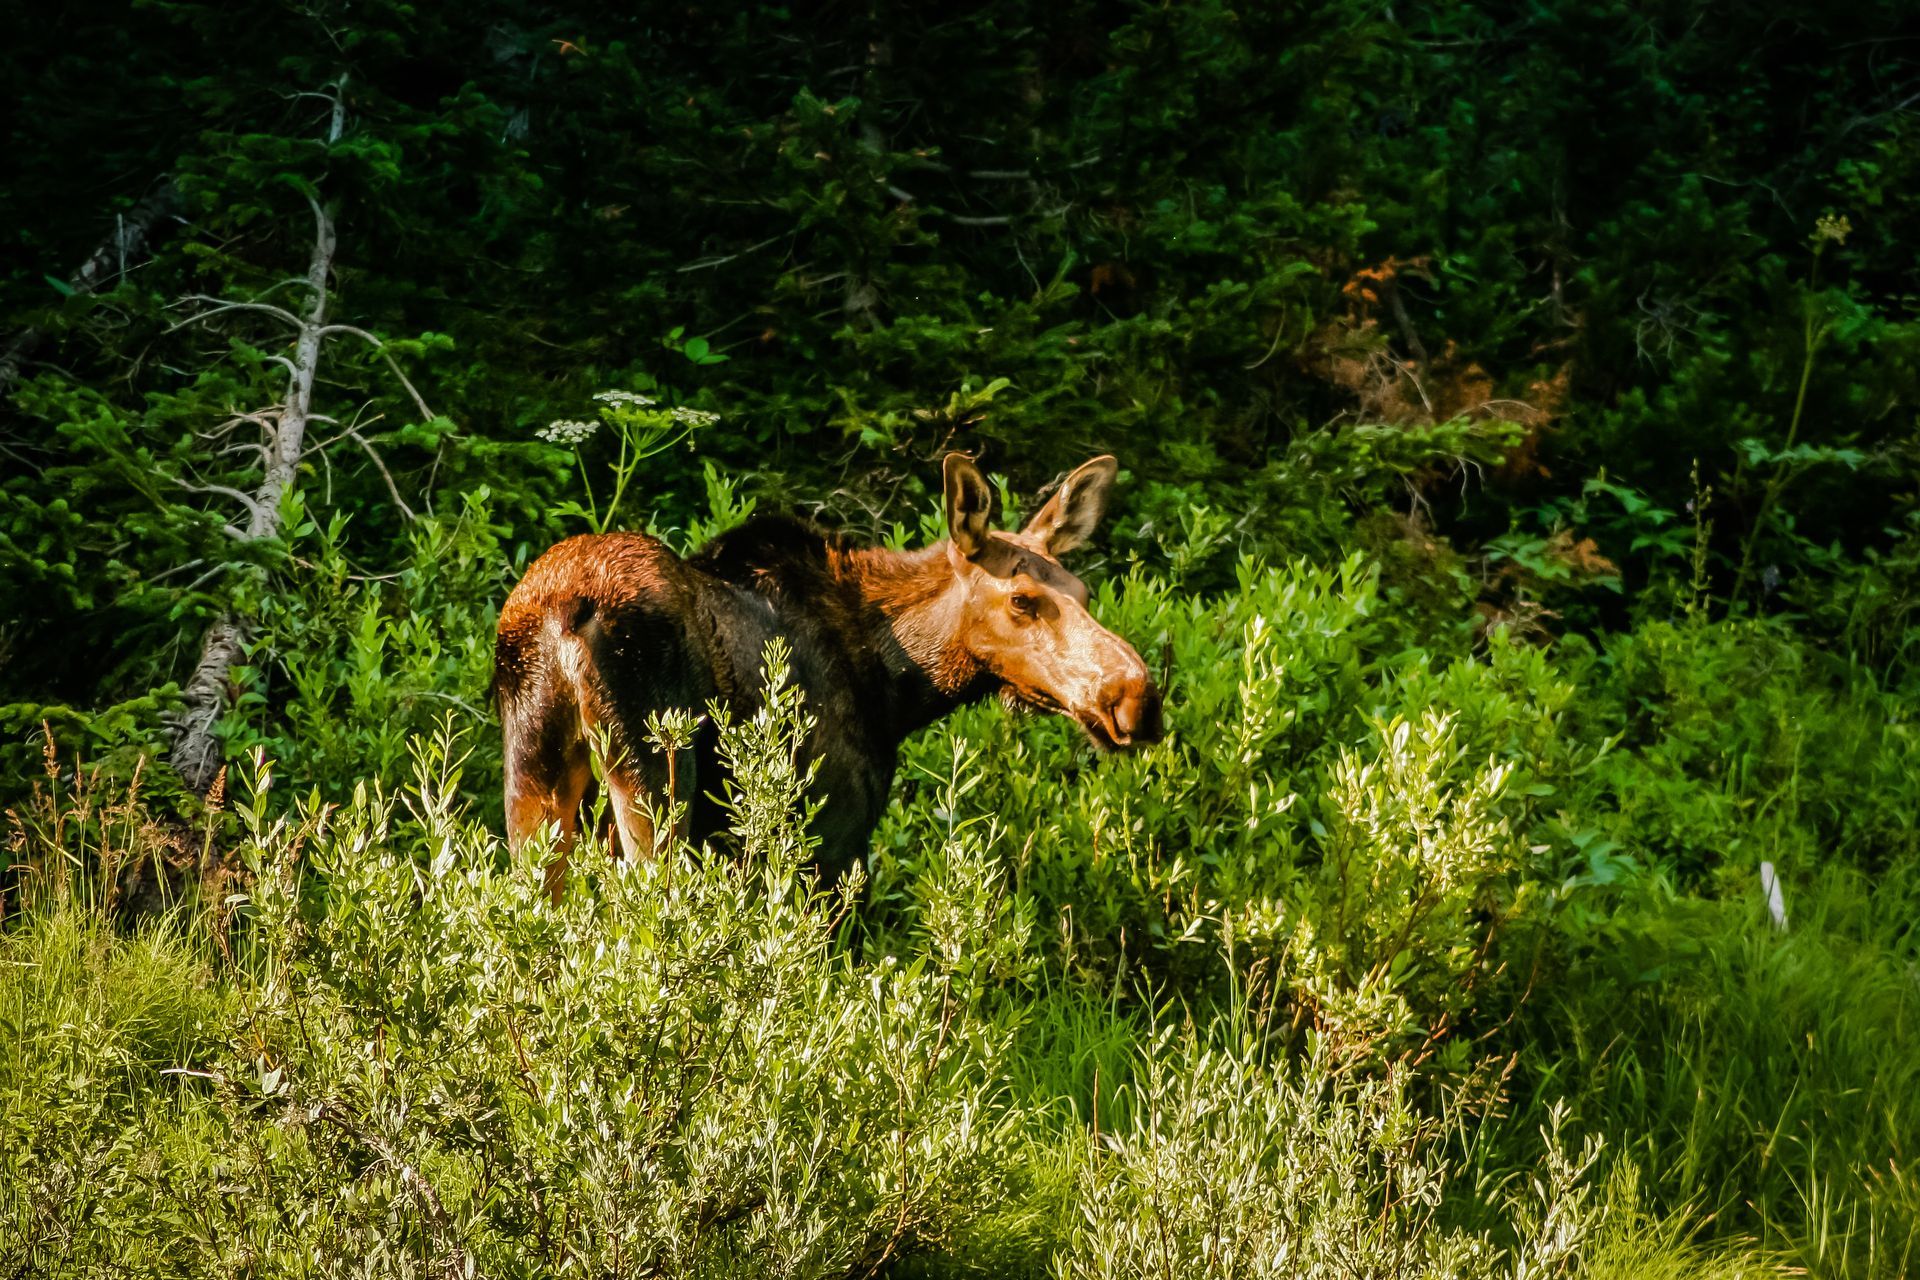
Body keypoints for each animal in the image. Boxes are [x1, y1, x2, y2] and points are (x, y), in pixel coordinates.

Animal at [491, 454, 1152, 898]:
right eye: (1021, 599)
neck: (900, 689)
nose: (1136, 699)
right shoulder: (833, 833)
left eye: (1084, 592)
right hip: (655, 776)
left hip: (533, 772)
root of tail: (565, 614)